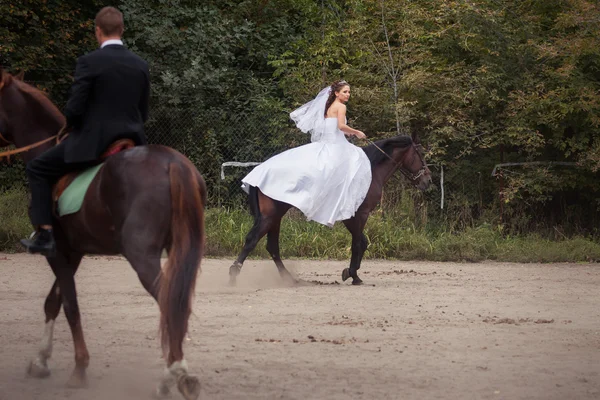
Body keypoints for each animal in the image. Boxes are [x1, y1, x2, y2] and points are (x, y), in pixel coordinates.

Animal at [0, 69, 205, 400]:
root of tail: (173, 163)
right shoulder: (74, 252)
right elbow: (53, 301)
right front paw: (40, 361)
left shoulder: (57, 251)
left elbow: (70, 305)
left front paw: (79, 368)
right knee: (177, 304)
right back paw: (174, 376)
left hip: (140, 255)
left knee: (167, 301)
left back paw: (173, 376)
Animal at [229, 136, 432, 286]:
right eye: (419, 153)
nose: (428, 180)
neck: (370, 171)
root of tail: (259, 171)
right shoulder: (359, 214)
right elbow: (357, 243)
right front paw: (353, 275)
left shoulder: (351, 217)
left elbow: (362, 242)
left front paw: (350, 272)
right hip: (270, 216)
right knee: (252, 240)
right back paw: (233, 274)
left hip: (276, 217)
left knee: (272, 247)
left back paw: (289, 278)